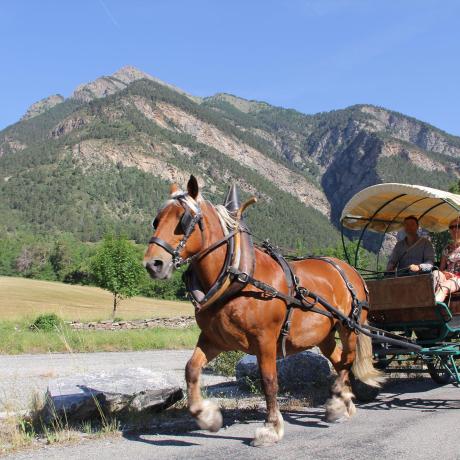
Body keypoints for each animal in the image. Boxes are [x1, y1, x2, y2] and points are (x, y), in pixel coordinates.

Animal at [143, 176, 380, 446]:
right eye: (157, 220)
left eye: (183, 221)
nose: (153, 264)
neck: (239, 277)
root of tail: (348, 269)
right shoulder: (214, 339)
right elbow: (191, 369)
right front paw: (206, 416)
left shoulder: (265, 340)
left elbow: (269, 381)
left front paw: (271, 427)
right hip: (325, 336)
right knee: (340, 361)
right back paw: (342, 402)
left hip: (349, 326)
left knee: (348, 359)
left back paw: (339, 402)